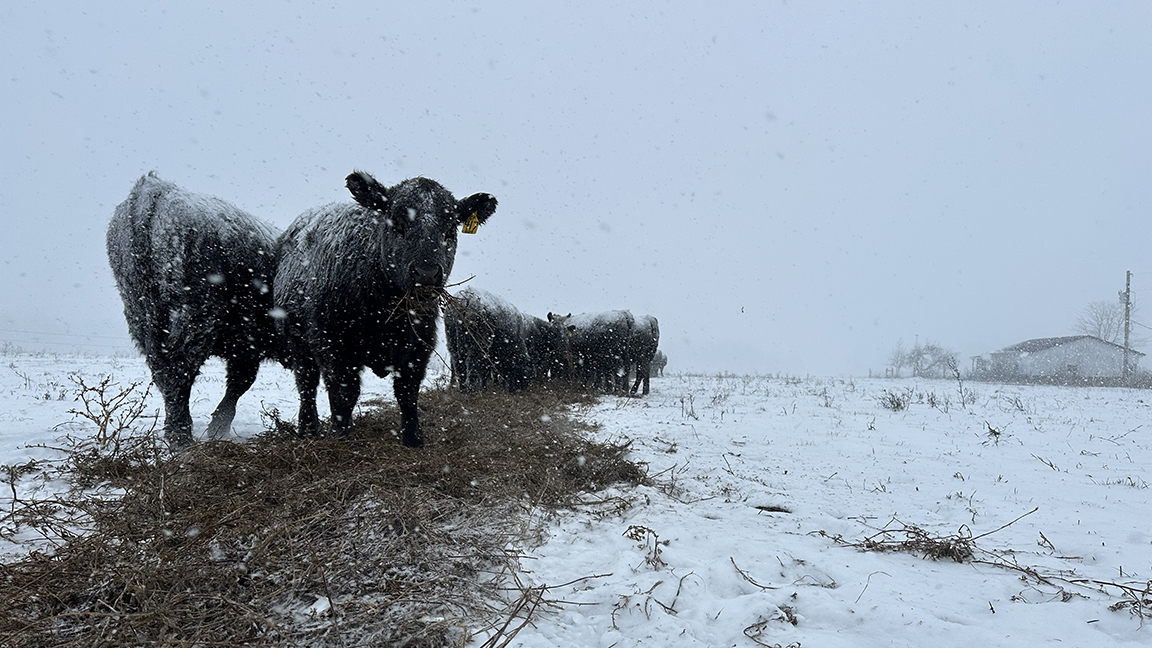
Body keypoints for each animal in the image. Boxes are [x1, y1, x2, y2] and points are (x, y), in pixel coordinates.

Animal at [106, 172, 281, 447]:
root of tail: (153, 189)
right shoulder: (248, 345)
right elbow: (240, 382)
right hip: (195, 316)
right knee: (180, 369)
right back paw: (181, 437)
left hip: (140, 314)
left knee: (164, 372)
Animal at [274, 171, 497, 447]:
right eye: (396, 224)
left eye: (449, 229)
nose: (426, 274)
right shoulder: (333, 342)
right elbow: (343, 392)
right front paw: (339, 436)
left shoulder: (420, 343)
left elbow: (407, 392)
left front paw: (413, 437)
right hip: (297, 339)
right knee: (307, 383)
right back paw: (307, 428)